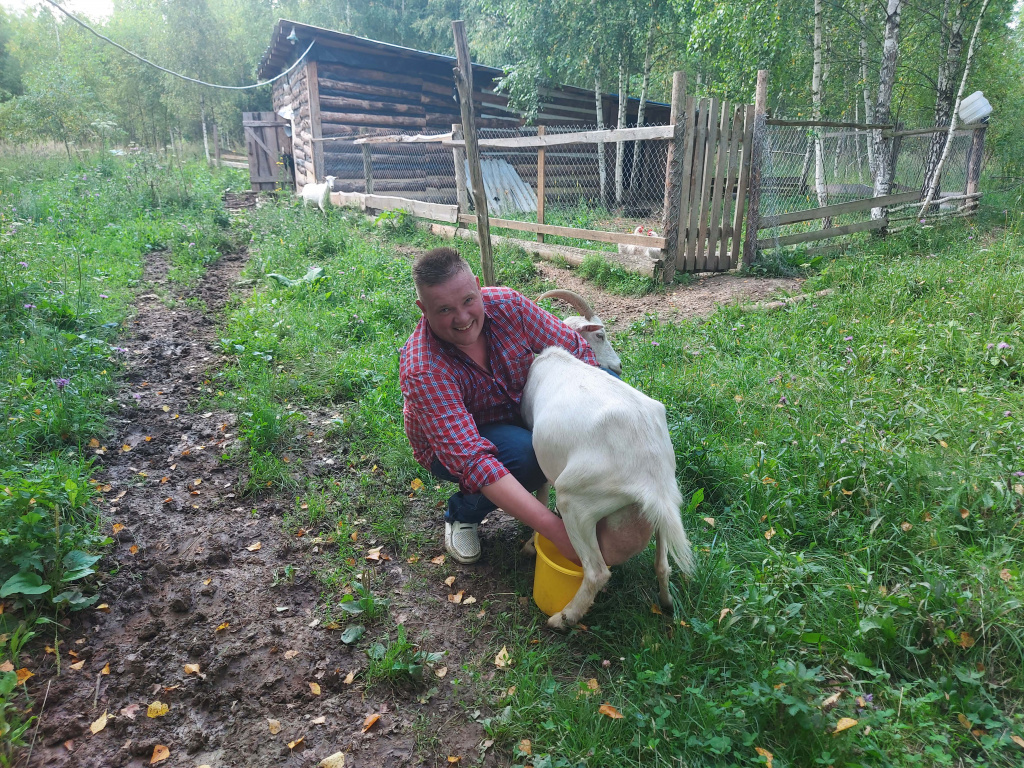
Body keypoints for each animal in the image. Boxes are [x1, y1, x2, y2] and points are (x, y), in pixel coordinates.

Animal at [520, 348, 696, 630]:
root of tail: (652, 477)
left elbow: (542, 493)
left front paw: (529, 546)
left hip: (577, 501)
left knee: (597, 572)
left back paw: (563, 619)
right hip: (669, 502)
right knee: (662, 564)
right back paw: (667, 603)